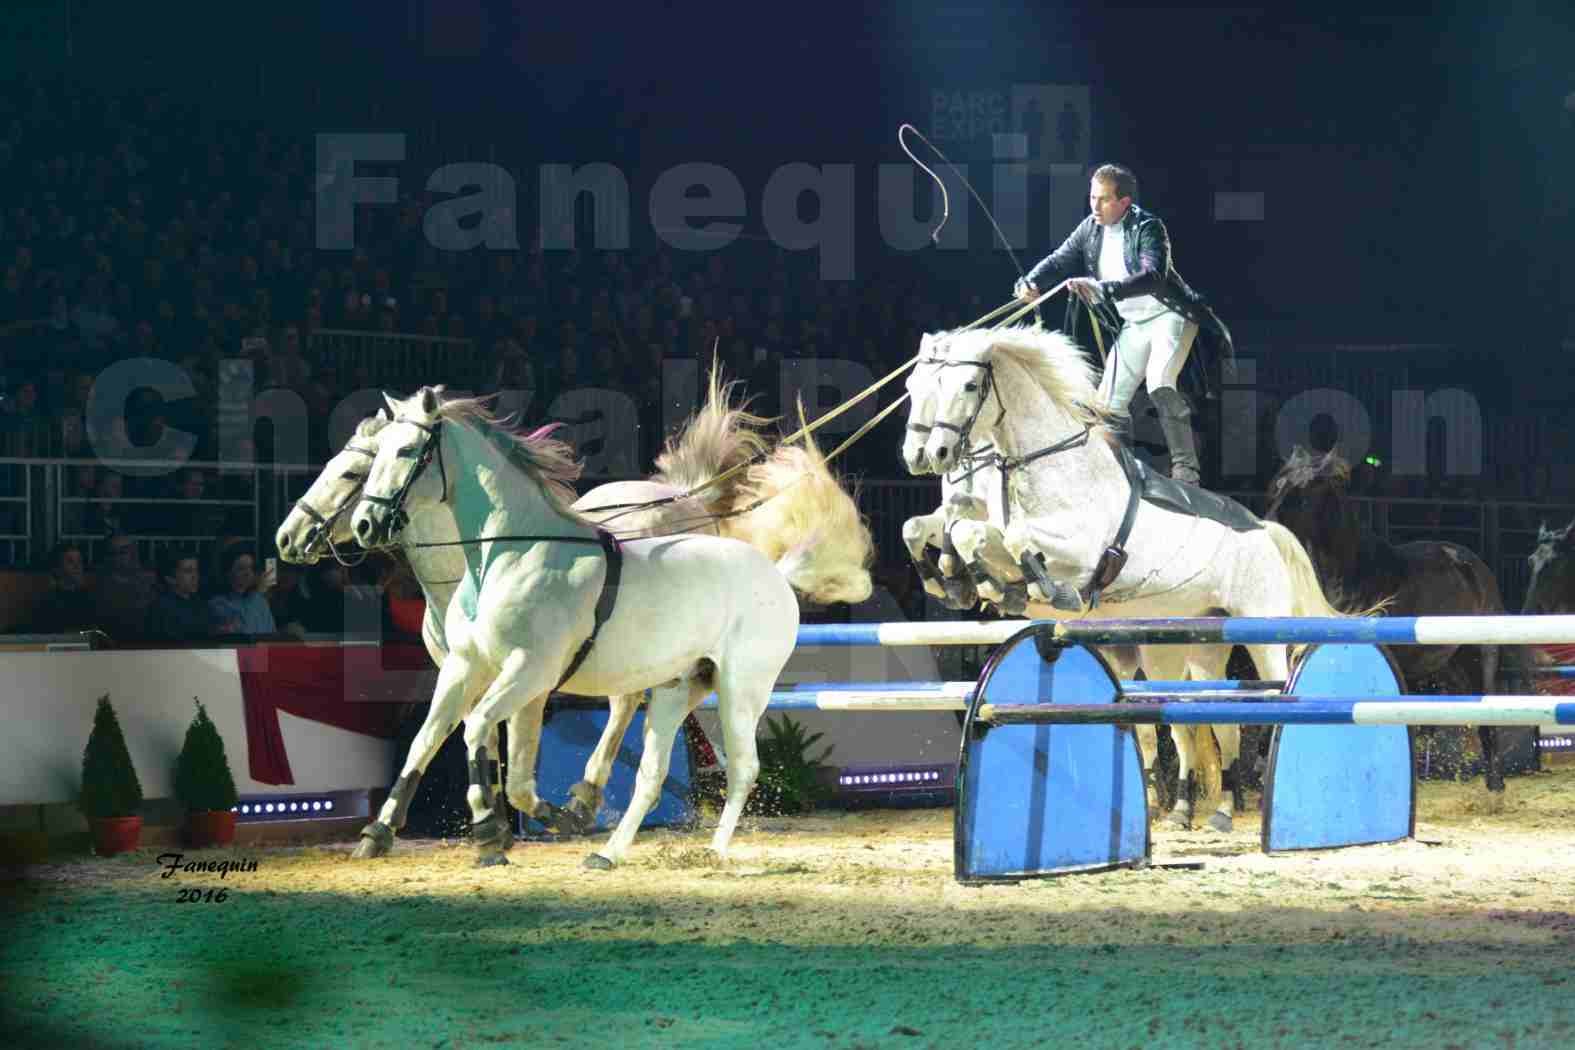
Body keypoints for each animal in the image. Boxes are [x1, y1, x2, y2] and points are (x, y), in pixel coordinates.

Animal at [907, 325, 1348, 831]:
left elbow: (1004, 539)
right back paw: (1211, 810)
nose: (929, 454)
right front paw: (963, 581)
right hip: (1201, 645)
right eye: (916, 388)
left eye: (967, 386)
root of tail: (1264, 529)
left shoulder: (1077, 550)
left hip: (1261, 634)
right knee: (1216, 719)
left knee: (1272, 702)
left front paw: (1029, 589)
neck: (1049, 464)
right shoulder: (988, 523)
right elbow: (948, 529)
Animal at [1260, 447, 1530, 793]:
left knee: (1487, 716)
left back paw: (1495, 785)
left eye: (1303, 493)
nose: (1267, 526)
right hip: (1448, 664)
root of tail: (1474, 566)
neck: (1349, 576)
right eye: (1276, 486)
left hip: (1481, 655)